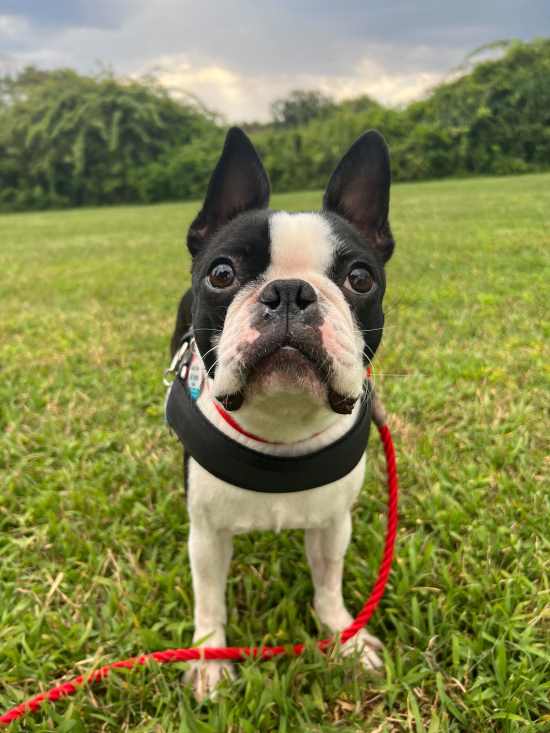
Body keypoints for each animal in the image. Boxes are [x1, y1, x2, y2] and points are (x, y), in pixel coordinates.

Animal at [170, 126, 394, 696]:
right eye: (221, 273)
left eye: (361, 279)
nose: (291, 291)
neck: (281, 426)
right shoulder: (207, 535)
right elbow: (210, 601)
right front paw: (209, 660)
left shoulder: (333, 523)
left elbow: (329, 585)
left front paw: (344, 639)